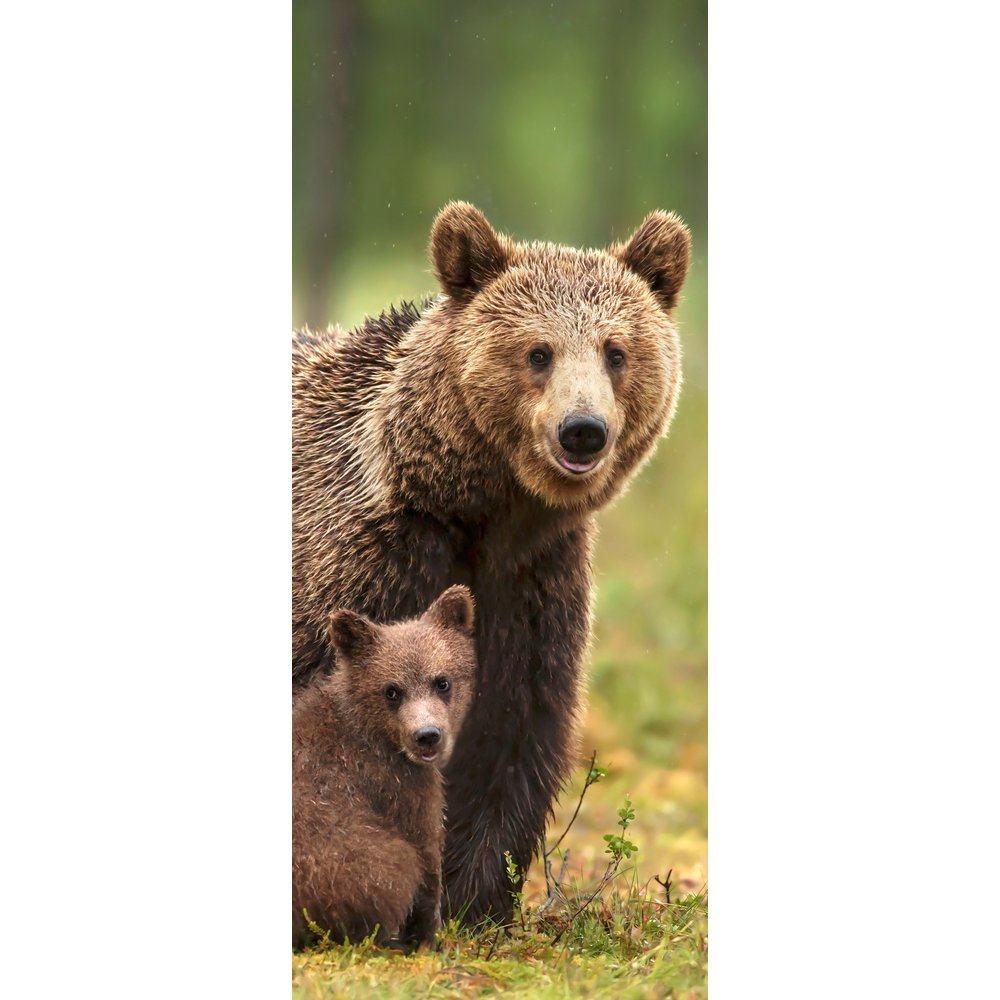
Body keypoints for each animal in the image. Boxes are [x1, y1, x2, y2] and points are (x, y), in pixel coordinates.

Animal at [292, 585, 477, 950]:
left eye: (442, 681)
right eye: (392, 690)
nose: (427, 736)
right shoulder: (398, 788)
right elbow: (427, 858)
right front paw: (431, 938)